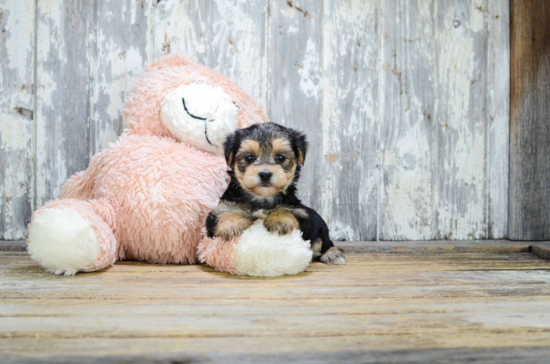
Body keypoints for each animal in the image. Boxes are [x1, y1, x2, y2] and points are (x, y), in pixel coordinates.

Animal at [205, 122, 348, 264]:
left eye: (280, 158)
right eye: (249, 158)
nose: (265, 174)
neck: (262, 198)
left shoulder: (302, 214)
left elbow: (287, 211)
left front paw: (279, 219)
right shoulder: (221, 209)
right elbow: (225, 214)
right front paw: (232, 224)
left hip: (319, 226)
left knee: (323, 242)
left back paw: (332, 254)